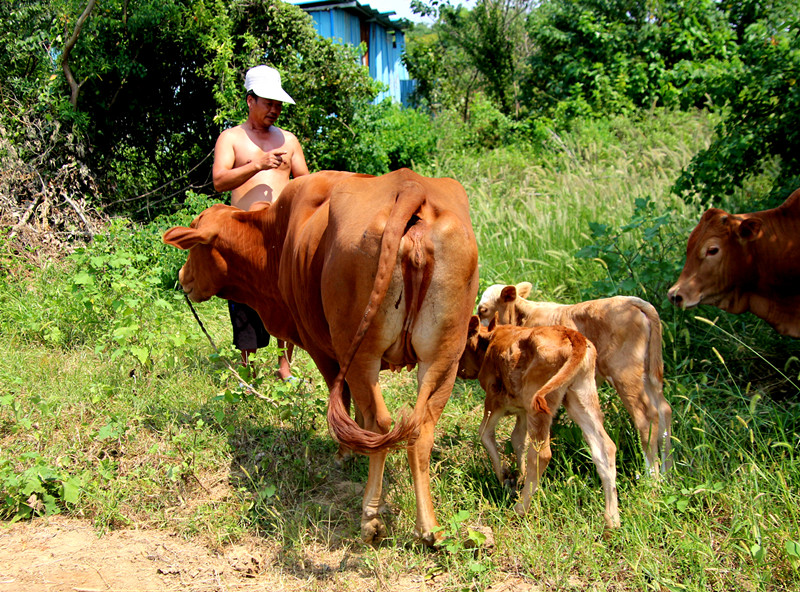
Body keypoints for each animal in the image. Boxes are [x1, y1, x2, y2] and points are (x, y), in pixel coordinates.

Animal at [159, 169, 478, 544]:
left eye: (194, 247)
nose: (183, 278)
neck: (275, 237)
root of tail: (410, 184)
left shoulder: (321, 346)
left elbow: (343, 400)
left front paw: (346, 453)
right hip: (444, 358)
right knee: (420, 429)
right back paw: (429, 528)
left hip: (362, 353)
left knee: (380, 422)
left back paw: (370, 518)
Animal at [456, 314, 620, 528]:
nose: (459, 371)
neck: (491, 340)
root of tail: (573, 335)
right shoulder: (523, 410)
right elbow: (517, 439)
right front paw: (519, 476)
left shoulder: (495, 399)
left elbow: (485, 433)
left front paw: (504, 478)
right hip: (581, 396)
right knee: (605, 447)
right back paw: (612, 519)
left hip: (540, 403)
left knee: (541, 455)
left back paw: (519, 509)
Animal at [478, 284, 672, 476]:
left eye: (483, 310)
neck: (525, 315)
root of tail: (633, 301)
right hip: (647, 375)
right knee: (663, 410)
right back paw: (666, 473)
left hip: (624, 373)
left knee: (645, 418)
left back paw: (651, 477)